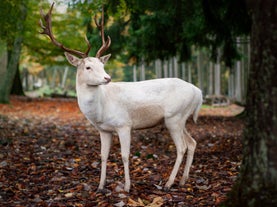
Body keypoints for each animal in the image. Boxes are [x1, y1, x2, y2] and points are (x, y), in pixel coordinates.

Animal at [40, 2, 202, 192]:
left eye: (102, 65)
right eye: (88, 67)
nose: (107, 78)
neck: (101, 109)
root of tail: (198, 92)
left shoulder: (124, 124)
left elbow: (125, 155)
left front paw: (127, 187)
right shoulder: (103, 129)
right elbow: (103, 155)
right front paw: (100, 186)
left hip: (174, 117)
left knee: (181, 147)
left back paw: (169, 183)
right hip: (180, 119)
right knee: (192, 142)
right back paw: (183, 180)